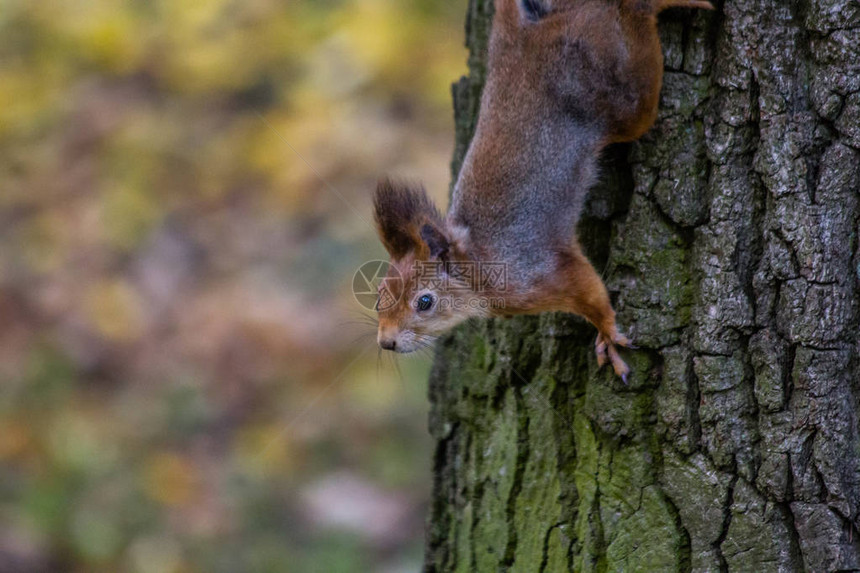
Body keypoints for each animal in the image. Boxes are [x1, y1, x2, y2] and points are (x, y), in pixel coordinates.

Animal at [370, 0, 712, 380]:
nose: (386, 342)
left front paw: (608, 334)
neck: (478, 265)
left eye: (425, 302)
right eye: (379, 295)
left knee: (637, 33)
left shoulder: (543, 272)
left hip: (622, 93)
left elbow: (590, 290)